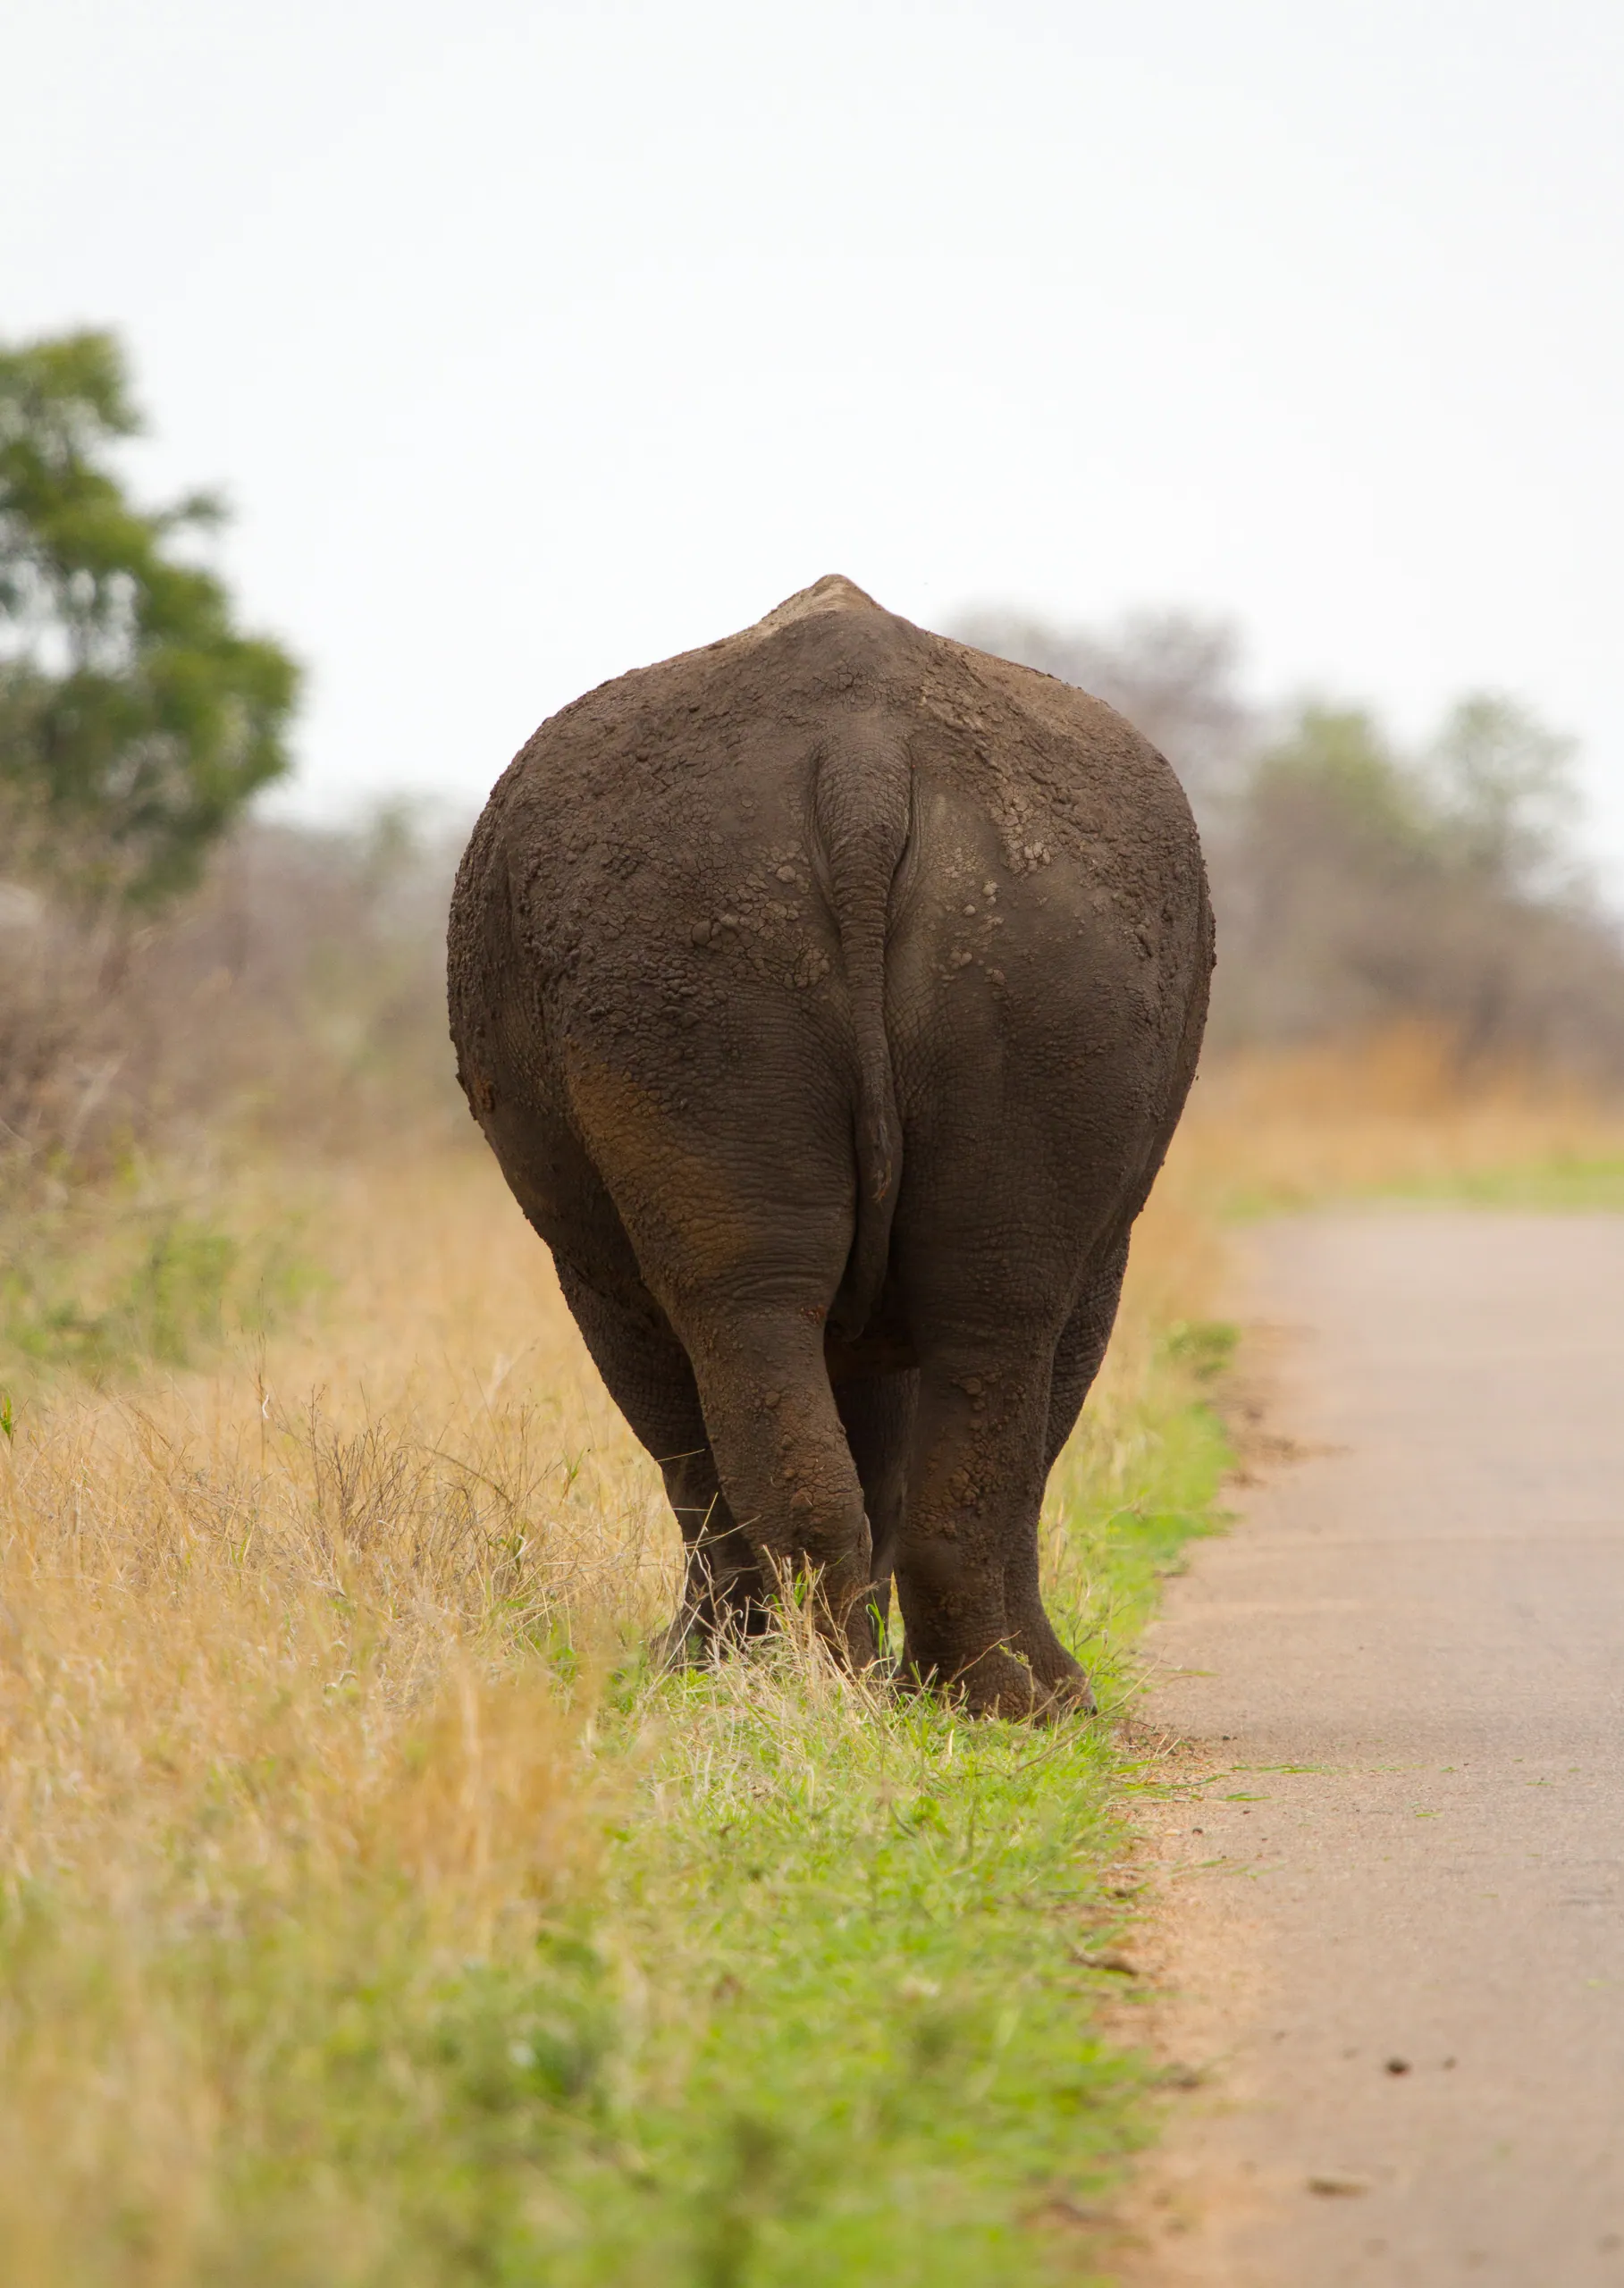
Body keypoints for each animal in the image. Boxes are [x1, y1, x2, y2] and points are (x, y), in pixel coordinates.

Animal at [448, 576, 1211, 1716]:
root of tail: (862, 759)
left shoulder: (596, 1270)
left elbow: (697, 1435)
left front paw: (698, 1677)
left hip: (710, 926)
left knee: (798, 1314)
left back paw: (907, 1693)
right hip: (947, 926)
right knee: (954, 1307)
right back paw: (963, 1699)